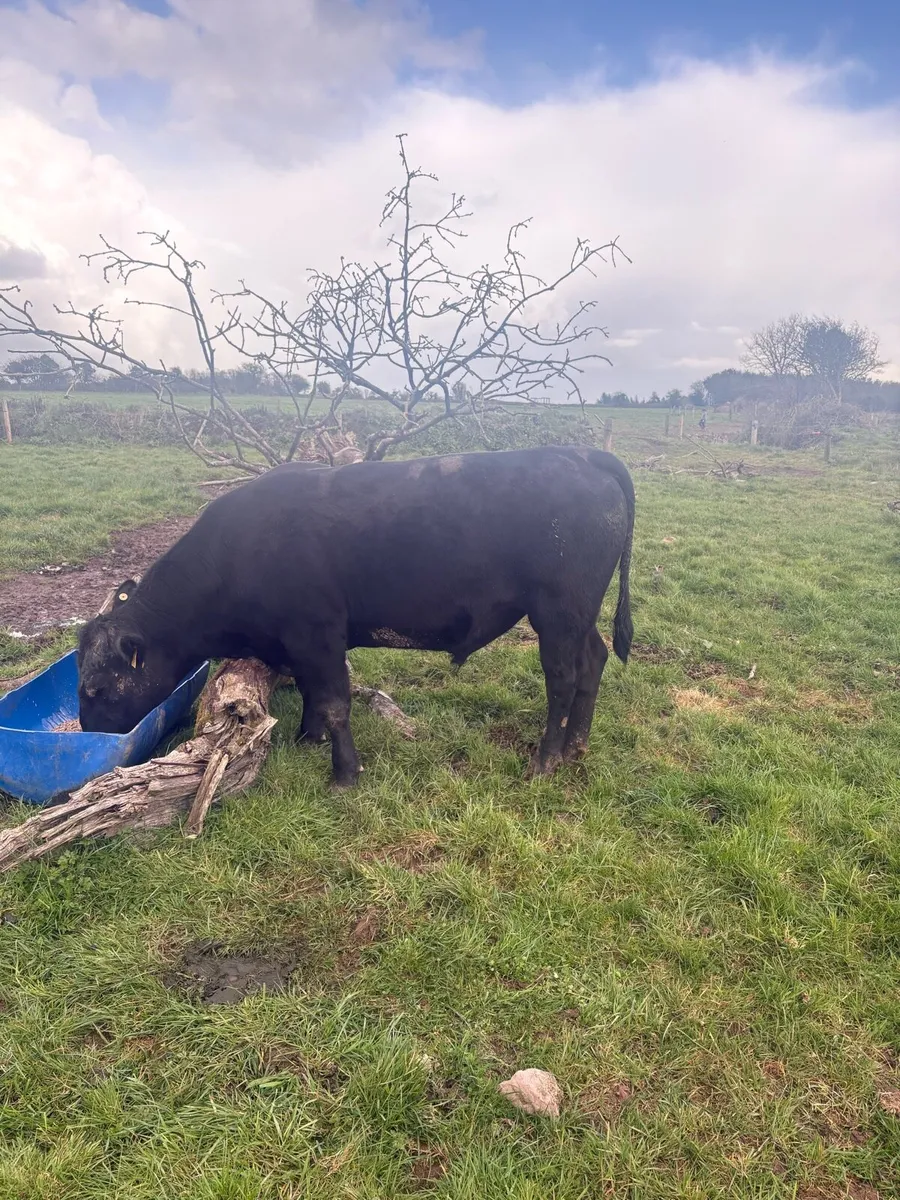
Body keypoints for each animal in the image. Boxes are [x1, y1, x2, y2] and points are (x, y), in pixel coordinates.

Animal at [77, 446, 635, 787]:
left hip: (558, 613)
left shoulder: (318, 634)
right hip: (578, 617)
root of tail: (580, 452)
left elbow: (335, 703)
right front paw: (308, 738)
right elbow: (313, 693)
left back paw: (546, 759)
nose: (88, 735)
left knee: (562, 679)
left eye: (97, 688)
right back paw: (578, 745)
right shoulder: (299, 643)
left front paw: (344, 773)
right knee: (594, 661)